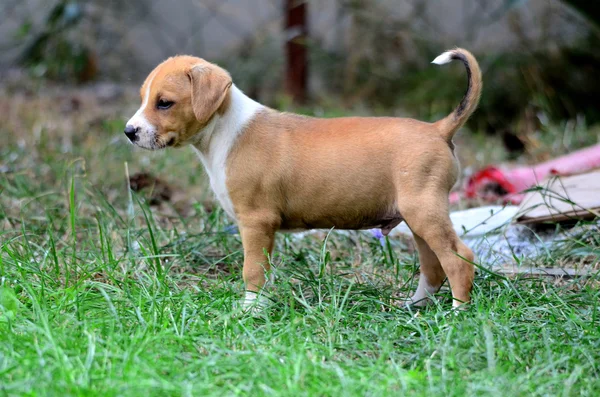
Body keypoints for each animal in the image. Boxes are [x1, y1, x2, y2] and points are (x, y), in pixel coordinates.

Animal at [125, 48, 482, 310]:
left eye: (164, 103)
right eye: (144, 98)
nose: (129, 132)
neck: (225, 129)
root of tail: (438, 129)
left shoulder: (256, 222)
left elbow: (252, 270)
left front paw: (249, 311)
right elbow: (263, 270)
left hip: (425, 213)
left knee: (459, 259)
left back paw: (457, 314)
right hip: (418, 219)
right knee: (433, 267)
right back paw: (413, 307)